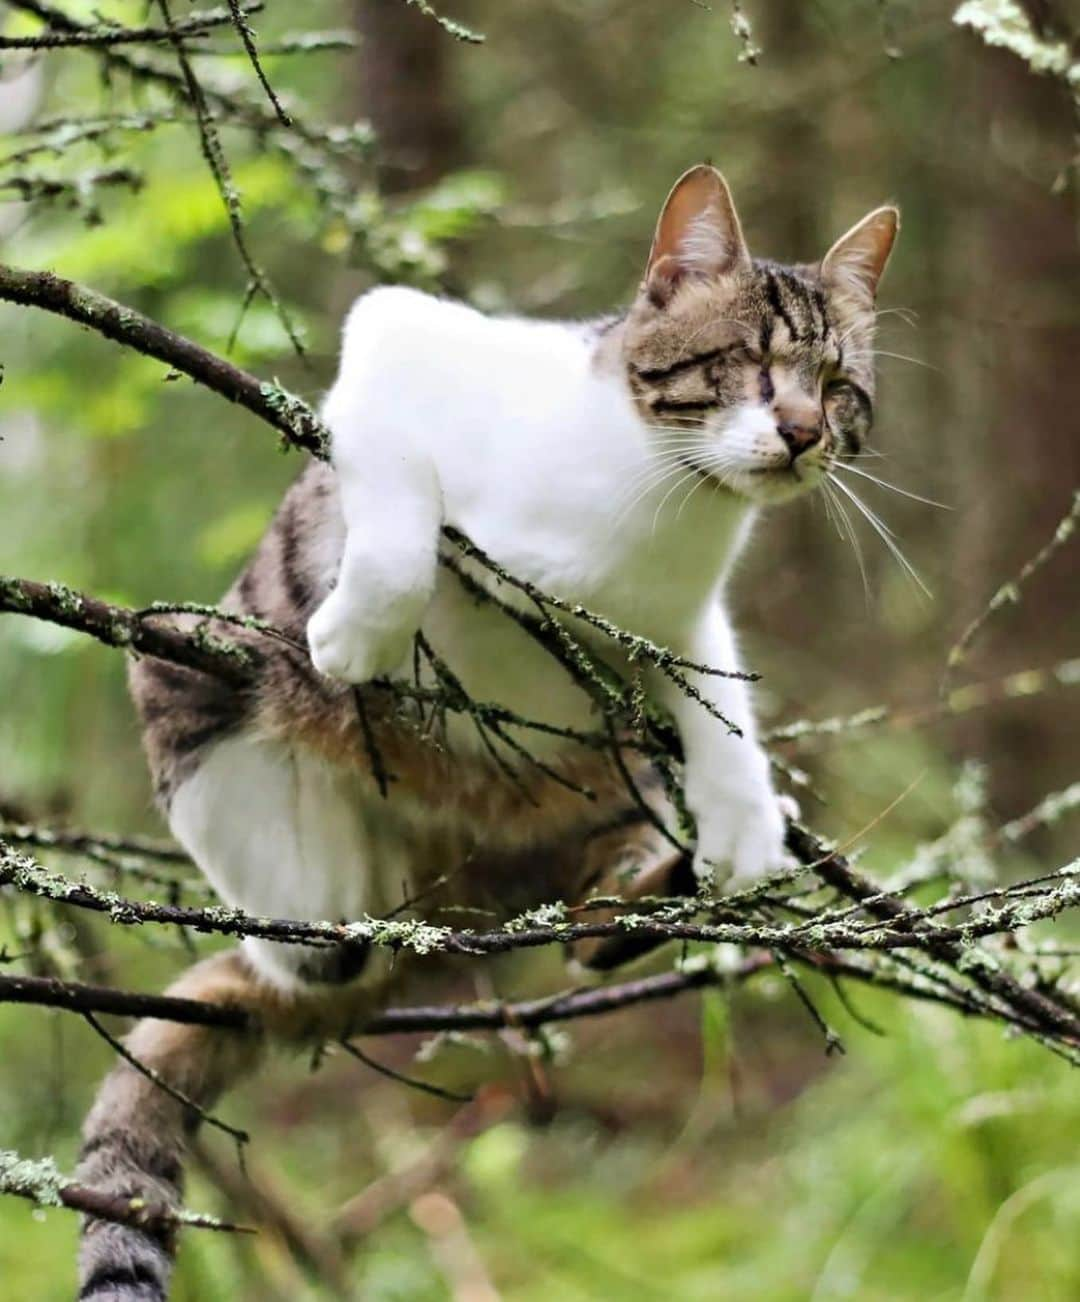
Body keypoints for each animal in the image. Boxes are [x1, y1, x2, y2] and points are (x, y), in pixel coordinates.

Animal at [80, 165, 896, 1302]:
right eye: (748, 360)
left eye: (837, 384)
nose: (804, 433)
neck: (660, 501)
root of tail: (448, 900)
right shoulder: (401, 335)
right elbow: (404, 514)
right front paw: (361, 630)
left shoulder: (680, 619)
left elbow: (718, 689)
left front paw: (744, 828)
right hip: (192, 667)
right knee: (311, 941)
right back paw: (322, 921)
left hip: (597, 798)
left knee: (594, 903)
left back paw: (648, 886)